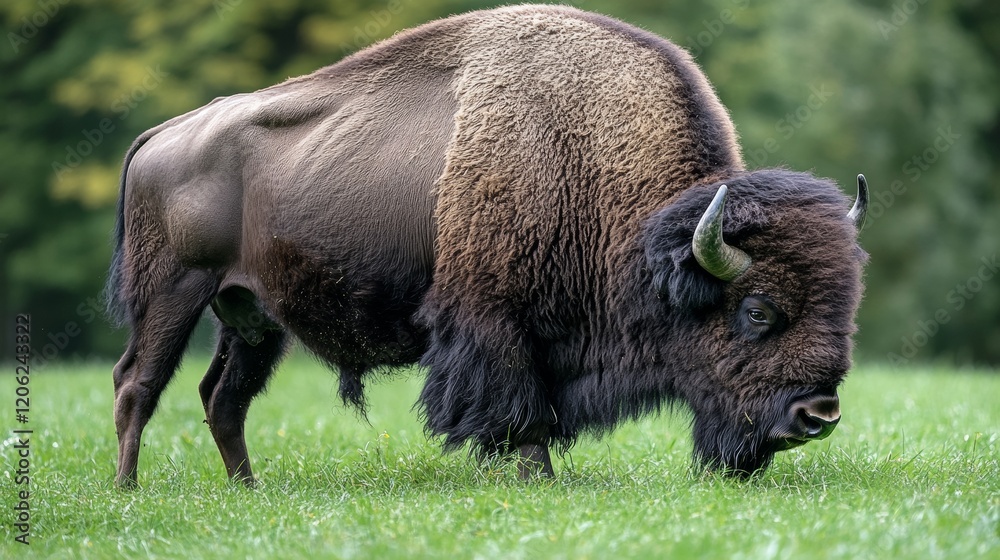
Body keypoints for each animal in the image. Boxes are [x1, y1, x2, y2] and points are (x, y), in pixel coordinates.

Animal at [107, 5, 868, 487]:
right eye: (757, 311)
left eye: (845, 311)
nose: (819, 415)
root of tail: (164, 134)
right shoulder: (493, 320)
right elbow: (514, 406)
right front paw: (533, 475)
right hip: (174, 292)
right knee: (136, 383)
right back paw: (128, 491)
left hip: (252, 317)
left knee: (222, 397)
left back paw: (248, 489)